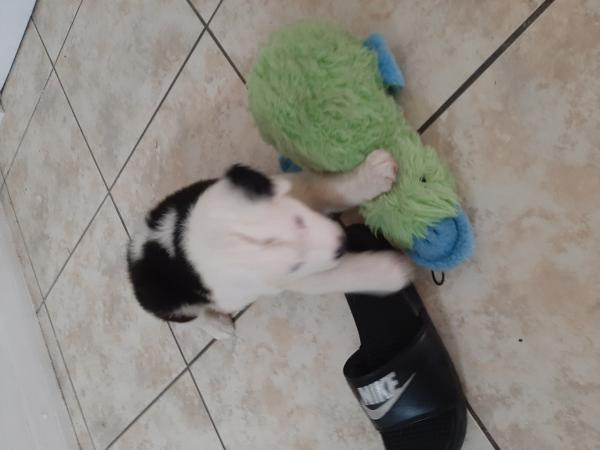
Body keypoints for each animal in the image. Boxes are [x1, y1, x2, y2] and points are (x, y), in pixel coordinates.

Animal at [127, 150, 413, 338]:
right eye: (295, 265)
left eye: (299, 220)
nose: (342, 242)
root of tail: (133, 255)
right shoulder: (292, 279)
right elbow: (341, 275)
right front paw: (392, 272)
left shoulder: (286, 187)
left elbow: (325, 189)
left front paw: (372, 176)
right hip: (173, 306)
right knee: (195, 316)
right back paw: (219, 328)